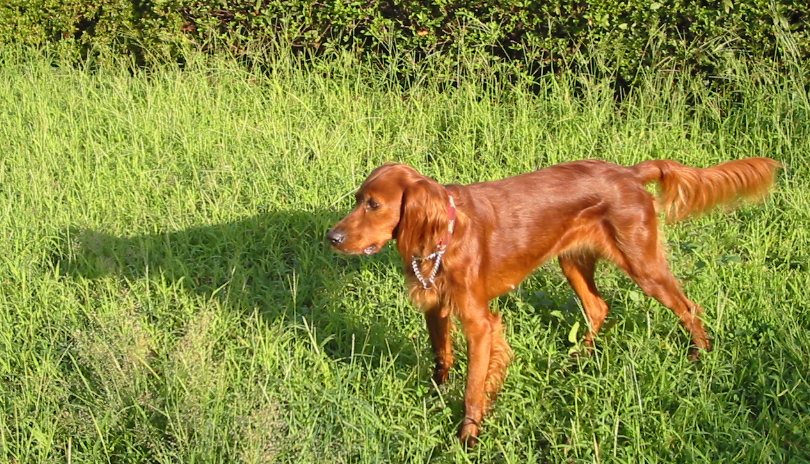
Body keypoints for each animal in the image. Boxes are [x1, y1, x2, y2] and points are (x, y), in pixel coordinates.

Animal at [326, 157, 779, 444]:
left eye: (374, 204)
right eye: (357, 198)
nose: (332, 237)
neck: (444, 233)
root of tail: (630, 173)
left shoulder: (480, 323)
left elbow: (473, 387)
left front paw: (467, 436)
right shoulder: (437, 308)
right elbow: (442, 357)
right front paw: (434, 396)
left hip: (643, 264)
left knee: (687, 307)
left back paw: (701, 357)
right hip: (572, 261)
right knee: (599, 307)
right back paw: (579, 359)